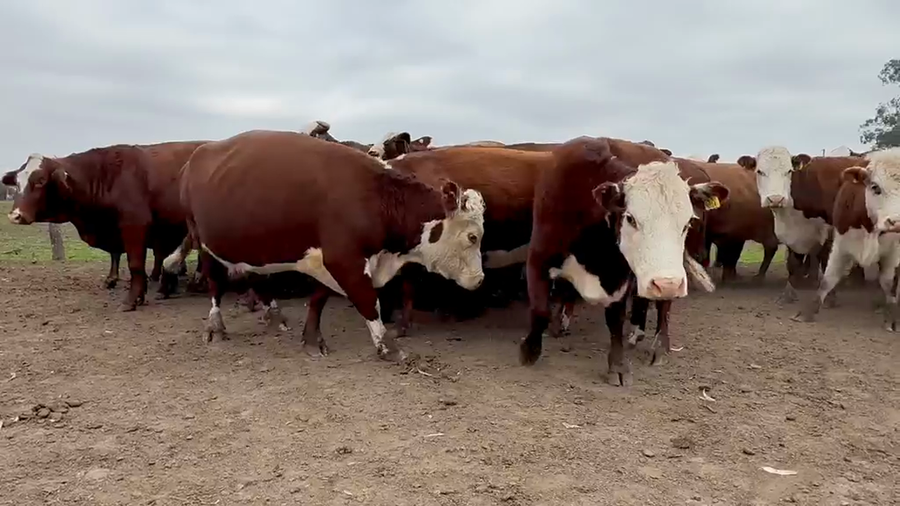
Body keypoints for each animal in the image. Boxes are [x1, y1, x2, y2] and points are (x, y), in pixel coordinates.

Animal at [1, 141, 206, 309]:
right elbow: (119, 256)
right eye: (17, 183)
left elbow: (135, 264)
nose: (15, 215)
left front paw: (132, 300)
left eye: (41, 181)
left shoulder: (134, 227)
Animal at [163, 129, 487, 361]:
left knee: (254, 275)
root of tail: (198, 155)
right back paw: (215, 326)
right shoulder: (343, 259)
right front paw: (387, 346)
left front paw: (310, 338)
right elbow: (368, 300)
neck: (374, 196)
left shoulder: (327, 259)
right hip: (204, 240)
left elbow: (319, 297)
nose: (479, 279)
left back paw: (274, 314)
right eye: (472, 237)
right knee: (214, 282)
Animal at [523, 137, 728, 386]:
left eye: (687, 222)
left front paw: (618, 366)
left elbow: (615, 320)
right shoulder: (538, 259)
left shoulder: (620, 278)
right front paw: (530, 350)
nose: (667, 284)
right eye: (630, 218)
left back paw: (657, 344)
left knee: (663, 307)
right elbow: (540, 309)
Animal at [739, 148, 900, 330]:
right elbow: (793, 264)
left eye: (788, 171)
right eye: (759, 171)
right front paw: (788, 294)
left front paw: (831, 298)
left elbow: (825, 262)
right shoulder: (795, 237)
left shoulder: (830, 232)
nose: (775, 199)